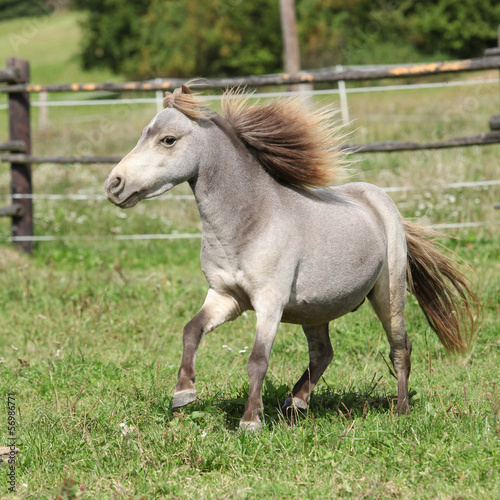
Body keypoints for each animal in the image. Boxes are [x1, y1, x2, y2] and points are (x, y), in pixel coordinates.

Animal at [103, 84, 478, 432]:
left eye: (167, 139)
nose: (114, 185)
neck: (250, 222)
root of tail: (378, 198)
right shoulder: (225, 297)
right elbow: (191, 330)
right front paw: (184, 394)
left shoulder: (269, 302)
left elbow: (258, 359)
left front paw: (250, 421)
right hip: (316, 309)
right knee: (323, 353)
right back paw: (296, 403)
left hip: (389, 294)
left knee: (400, 347)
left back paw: (400, 411)